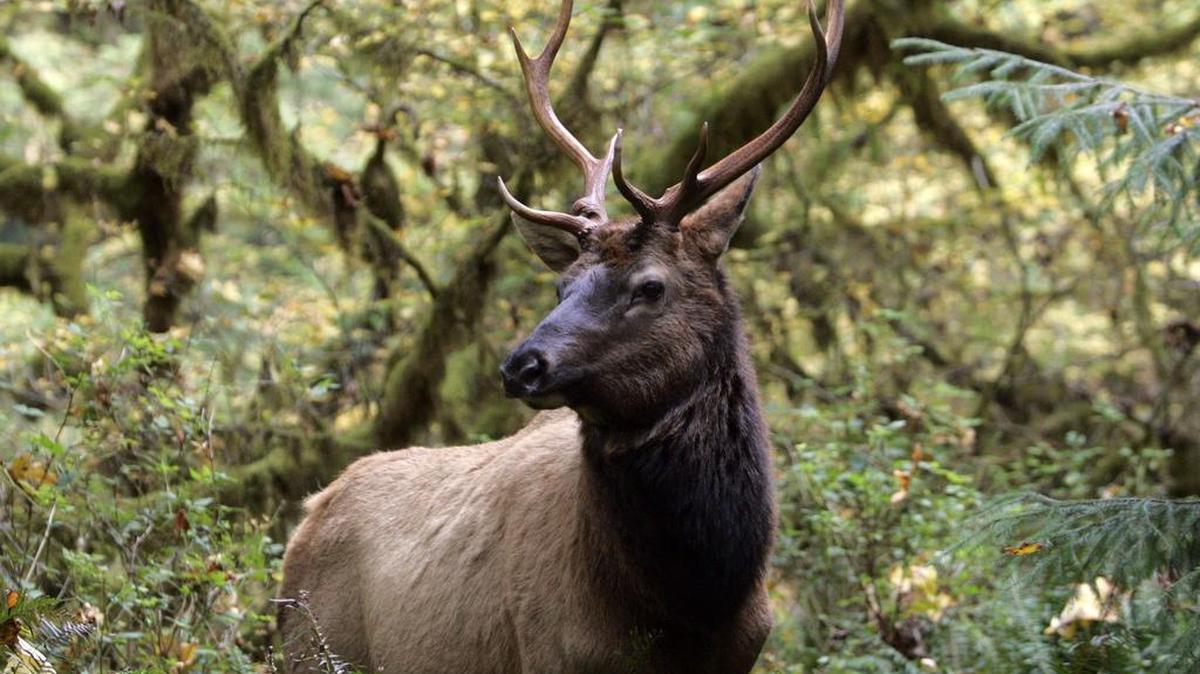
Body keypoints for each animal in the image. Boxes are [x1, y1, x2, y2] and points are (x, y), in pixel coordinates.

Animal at [279, 1, 843, 672]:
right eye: (560, 286)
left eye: (650, 286)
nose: (520, 366)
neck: (691, 606)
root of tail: (309, 513)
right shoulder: (550, 650)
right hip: (309, 645)